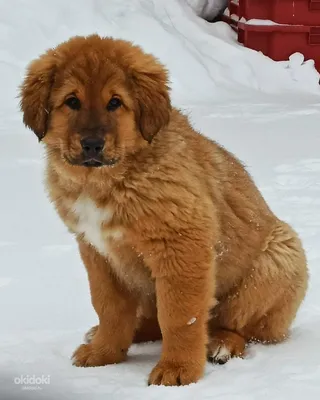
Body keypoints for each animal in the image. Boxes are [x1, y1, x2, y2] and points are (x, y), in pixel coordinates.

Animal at [19, 36, 308, 386]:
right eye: (71, 102)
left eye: (115, 103)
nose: (92, 144)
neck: (108, 182)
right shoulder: (97, 252)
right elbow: (109, 306)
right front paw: (104, 353)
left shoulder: (181, 245)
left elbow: (180, 317)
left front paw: (178, 369)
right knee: (149, 321)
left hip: (278, 257)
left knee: (241, 326)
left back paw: (223, 343)